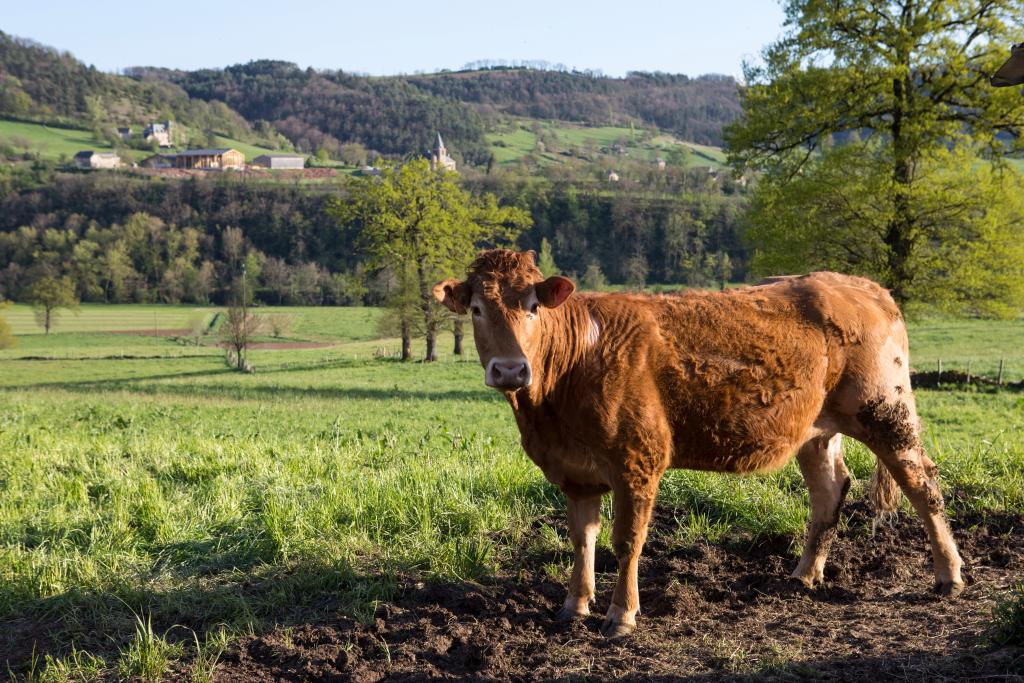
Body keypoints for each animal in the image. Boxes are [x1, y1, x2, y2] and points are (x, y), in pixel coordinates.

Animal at [436, 250, 962, 643]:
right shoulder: (574, 473)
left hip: (886, 410)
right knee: (830, 490)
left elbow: (626, 541)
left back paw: (949, 575)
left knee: (922, 483)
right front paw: (575, 605)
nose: (510, 370)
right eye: (478, 309)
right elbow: (581, 539)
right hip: (815, 427)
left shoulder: (637, 460)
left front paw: (620, 616)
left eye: (532, 306)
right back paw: (803, 575)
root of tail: (859, 285)